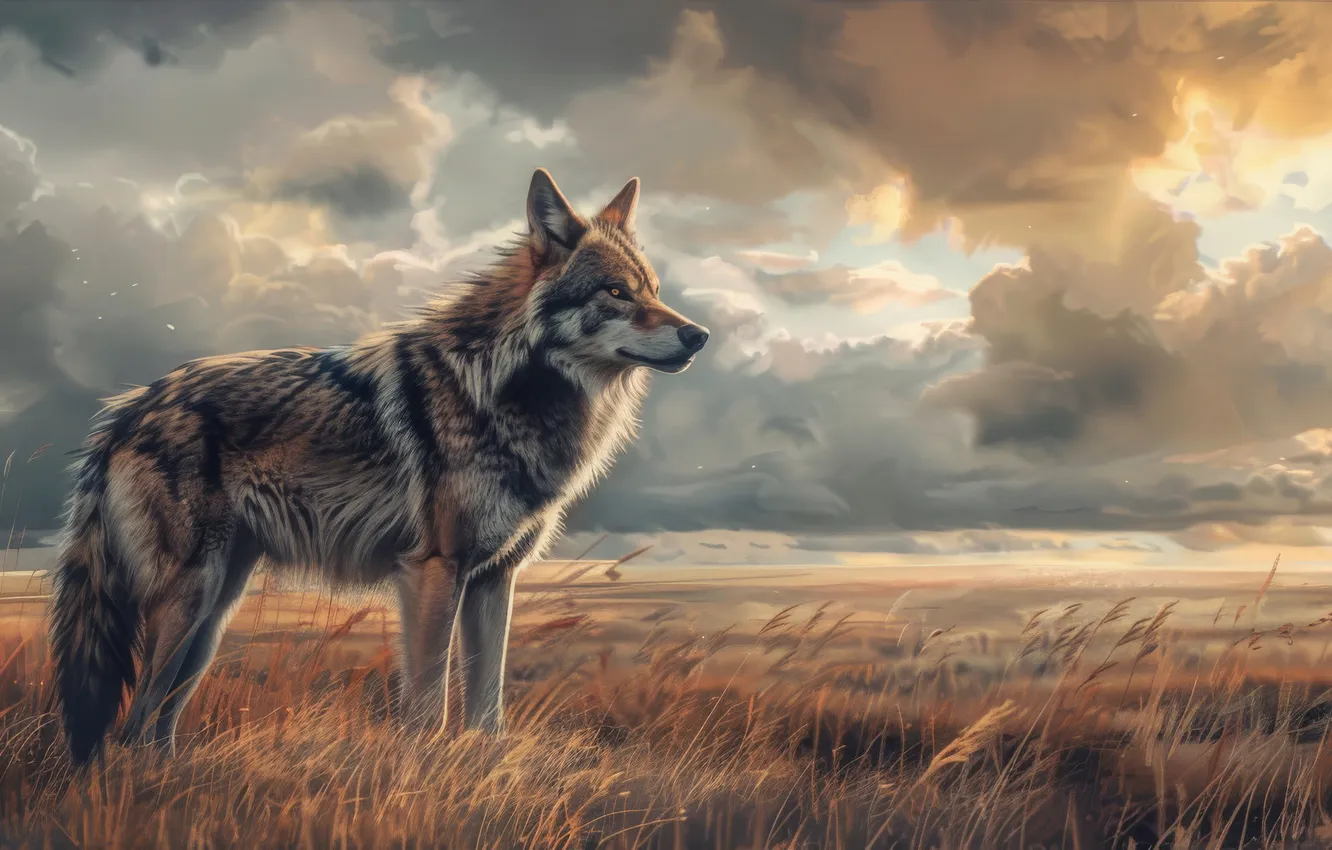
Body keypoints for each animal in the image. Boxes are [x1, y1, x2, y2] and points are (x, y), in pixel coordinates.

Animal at [47, 168, 709, 767]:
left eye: (653, 289)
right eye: (616, 293)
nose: (699, 335)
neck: (508, 390)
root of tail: (129, 408)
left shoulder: (495, 579)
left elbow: (487, 706)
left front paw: (485, 765)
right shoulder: (434, 570)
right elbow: (428, 703)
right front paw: (424, 769)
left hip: (212, 616)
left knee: (157, 721)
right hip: (190, 600)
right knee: (133, 722)